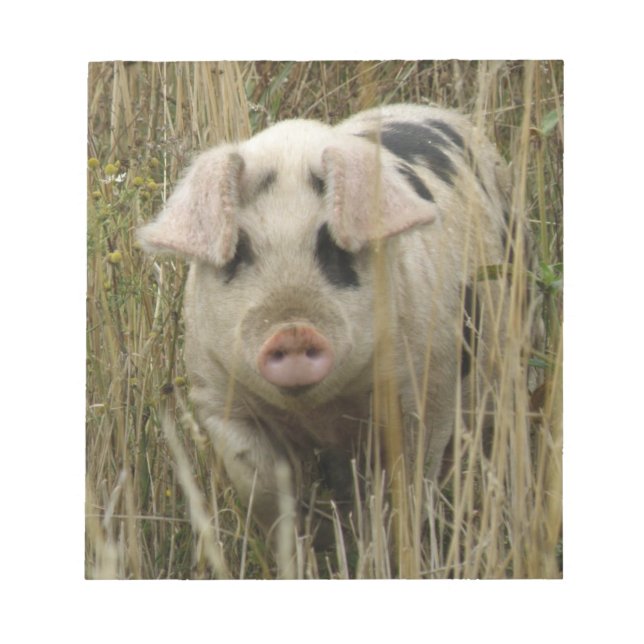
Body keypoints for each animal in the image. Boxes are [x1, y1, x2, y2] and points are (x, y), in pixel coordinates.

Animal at [138, 103, 515, 542]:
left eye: (333, 245)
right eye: (238, 252)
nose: (293, 331)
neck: (319, 413)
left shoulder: (427, 389)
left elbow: (407, 484)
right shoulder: (218, 397)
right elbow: (260, 485)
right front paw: (301, 540)